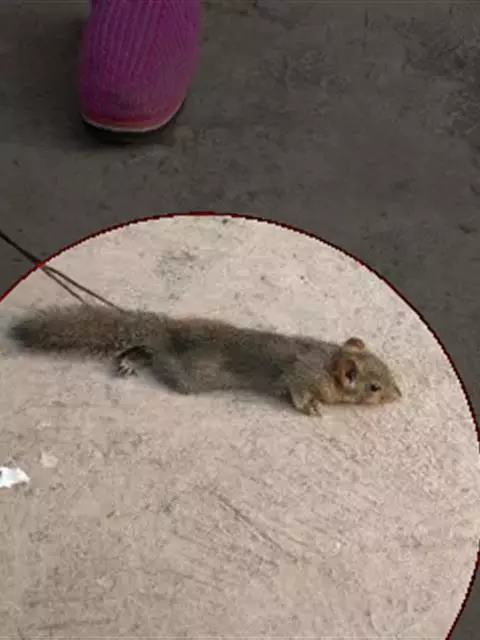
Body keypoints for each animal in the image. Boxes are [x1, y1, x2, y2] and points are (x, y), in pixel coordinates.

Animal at [8, 304, 402, 415]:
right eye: (374, 387)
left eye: (387, 368)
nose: (399, 395)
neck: (326, 360)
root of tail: (167, 331)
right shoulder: (300, 377)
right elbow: (298, 394)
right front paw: (312, 409)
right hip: (185, 376)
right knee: (157, 358)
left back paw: (130, 360)